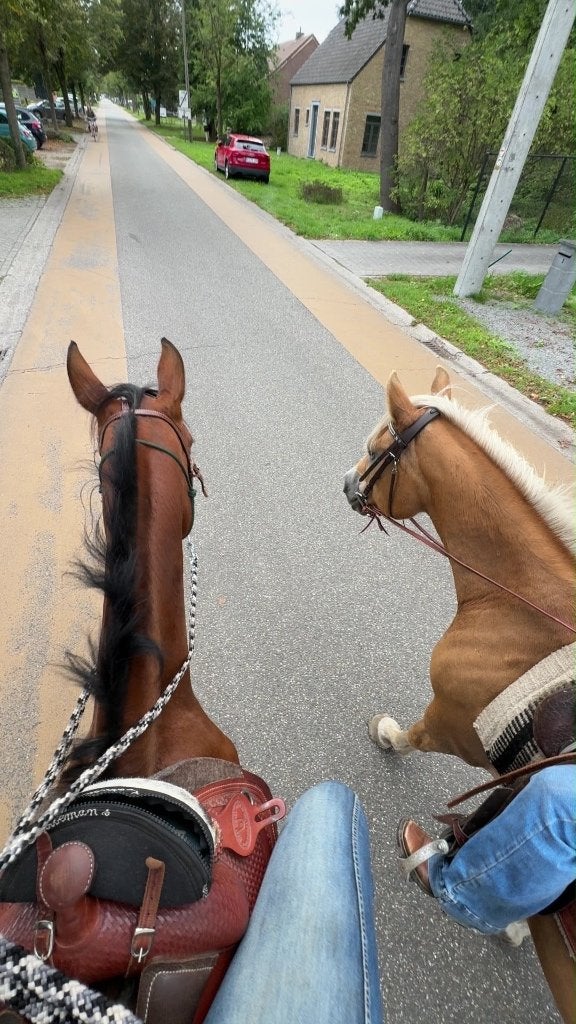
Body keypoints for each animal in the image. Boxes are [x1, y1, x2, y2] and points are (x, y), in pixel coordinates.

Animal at [343, 367, 575, 1024]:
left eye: (377, 448)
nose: (347, 483)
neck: (520, 606)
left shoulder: (452, 720)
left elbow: (412, 735)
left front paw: (387, 736)